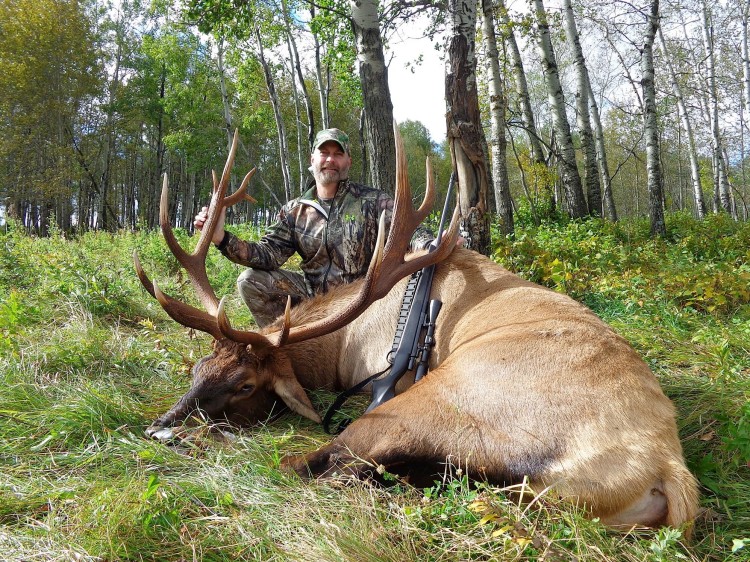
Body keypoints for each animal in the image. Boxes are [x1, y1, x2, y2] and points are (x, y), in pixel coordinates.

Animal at [134, 127, 699, 535]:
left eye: (245, 384)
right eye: (198, 366)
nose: (156, 426)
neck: (342, 344)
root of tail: (668, 469)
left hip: (437, 404)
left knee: (314, 464)